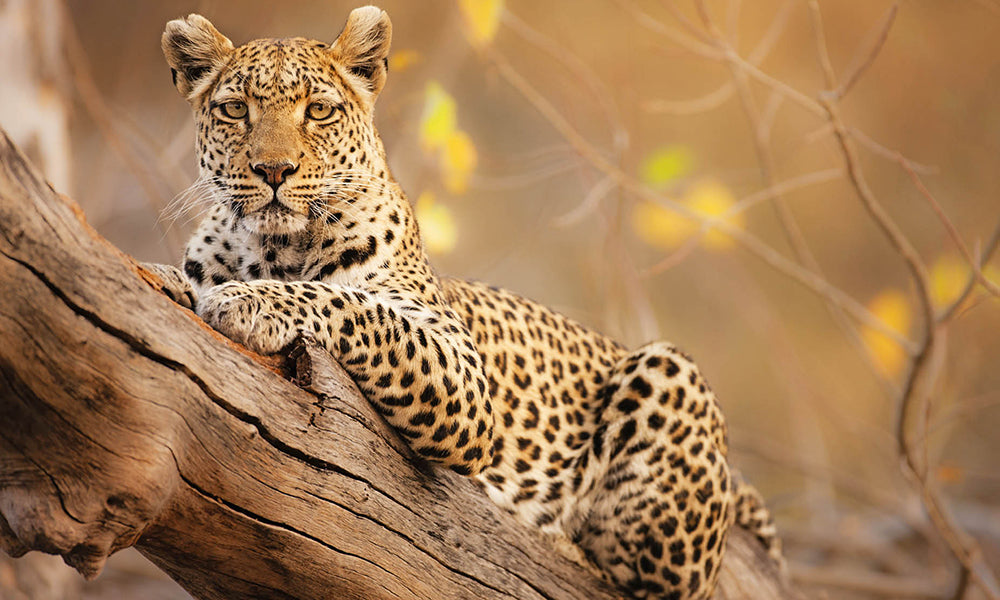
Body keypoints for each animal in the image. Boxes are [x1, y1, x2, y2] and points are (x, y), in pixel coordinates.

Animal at [144, 6, 782, 599]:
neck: (273, 247)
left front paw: (247, 301)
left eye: (318, 111)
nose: (273, 170)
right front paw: (168, 279)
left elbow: (352, 303)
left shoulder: (462, 374)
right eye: (235, 111)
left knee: (651, 580)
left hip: (669, 372)